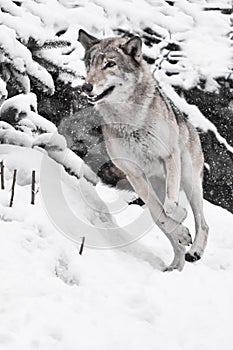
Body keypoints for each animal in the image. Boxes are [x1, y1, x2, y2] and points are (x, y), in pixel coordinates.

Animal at [78, 29, 209, 270]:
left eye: (110, 64)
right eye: (89, 64)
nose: (86, 86)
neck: (131, 122)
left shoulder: (170, 157)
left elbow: (170, 207)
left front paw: (181, 214)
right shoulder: (135, 175)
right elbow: (161, 213)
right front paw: (180, 229)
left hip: (189, 181)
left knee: (203, 223)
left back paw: (195, 251)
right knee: (168, 231)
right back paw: (174, 267)